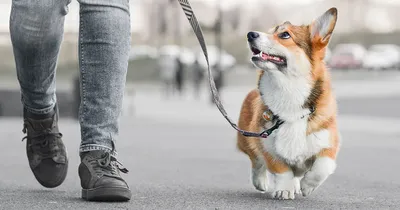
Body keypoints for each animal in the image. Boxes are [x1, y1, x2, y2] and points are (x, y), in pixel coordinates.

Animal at [238, 7, 340, 199]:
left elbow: (322, 167)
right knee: (256, 161)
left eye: (284, 35)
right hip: (245, 138)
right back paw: (261, 181)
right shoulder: (267, 145)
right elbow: (282, 170)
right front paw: (284, 189)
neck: (288, 91)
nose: (250, 34)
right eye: (269, 31)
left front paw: (307, 185)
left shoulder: (329, 143)